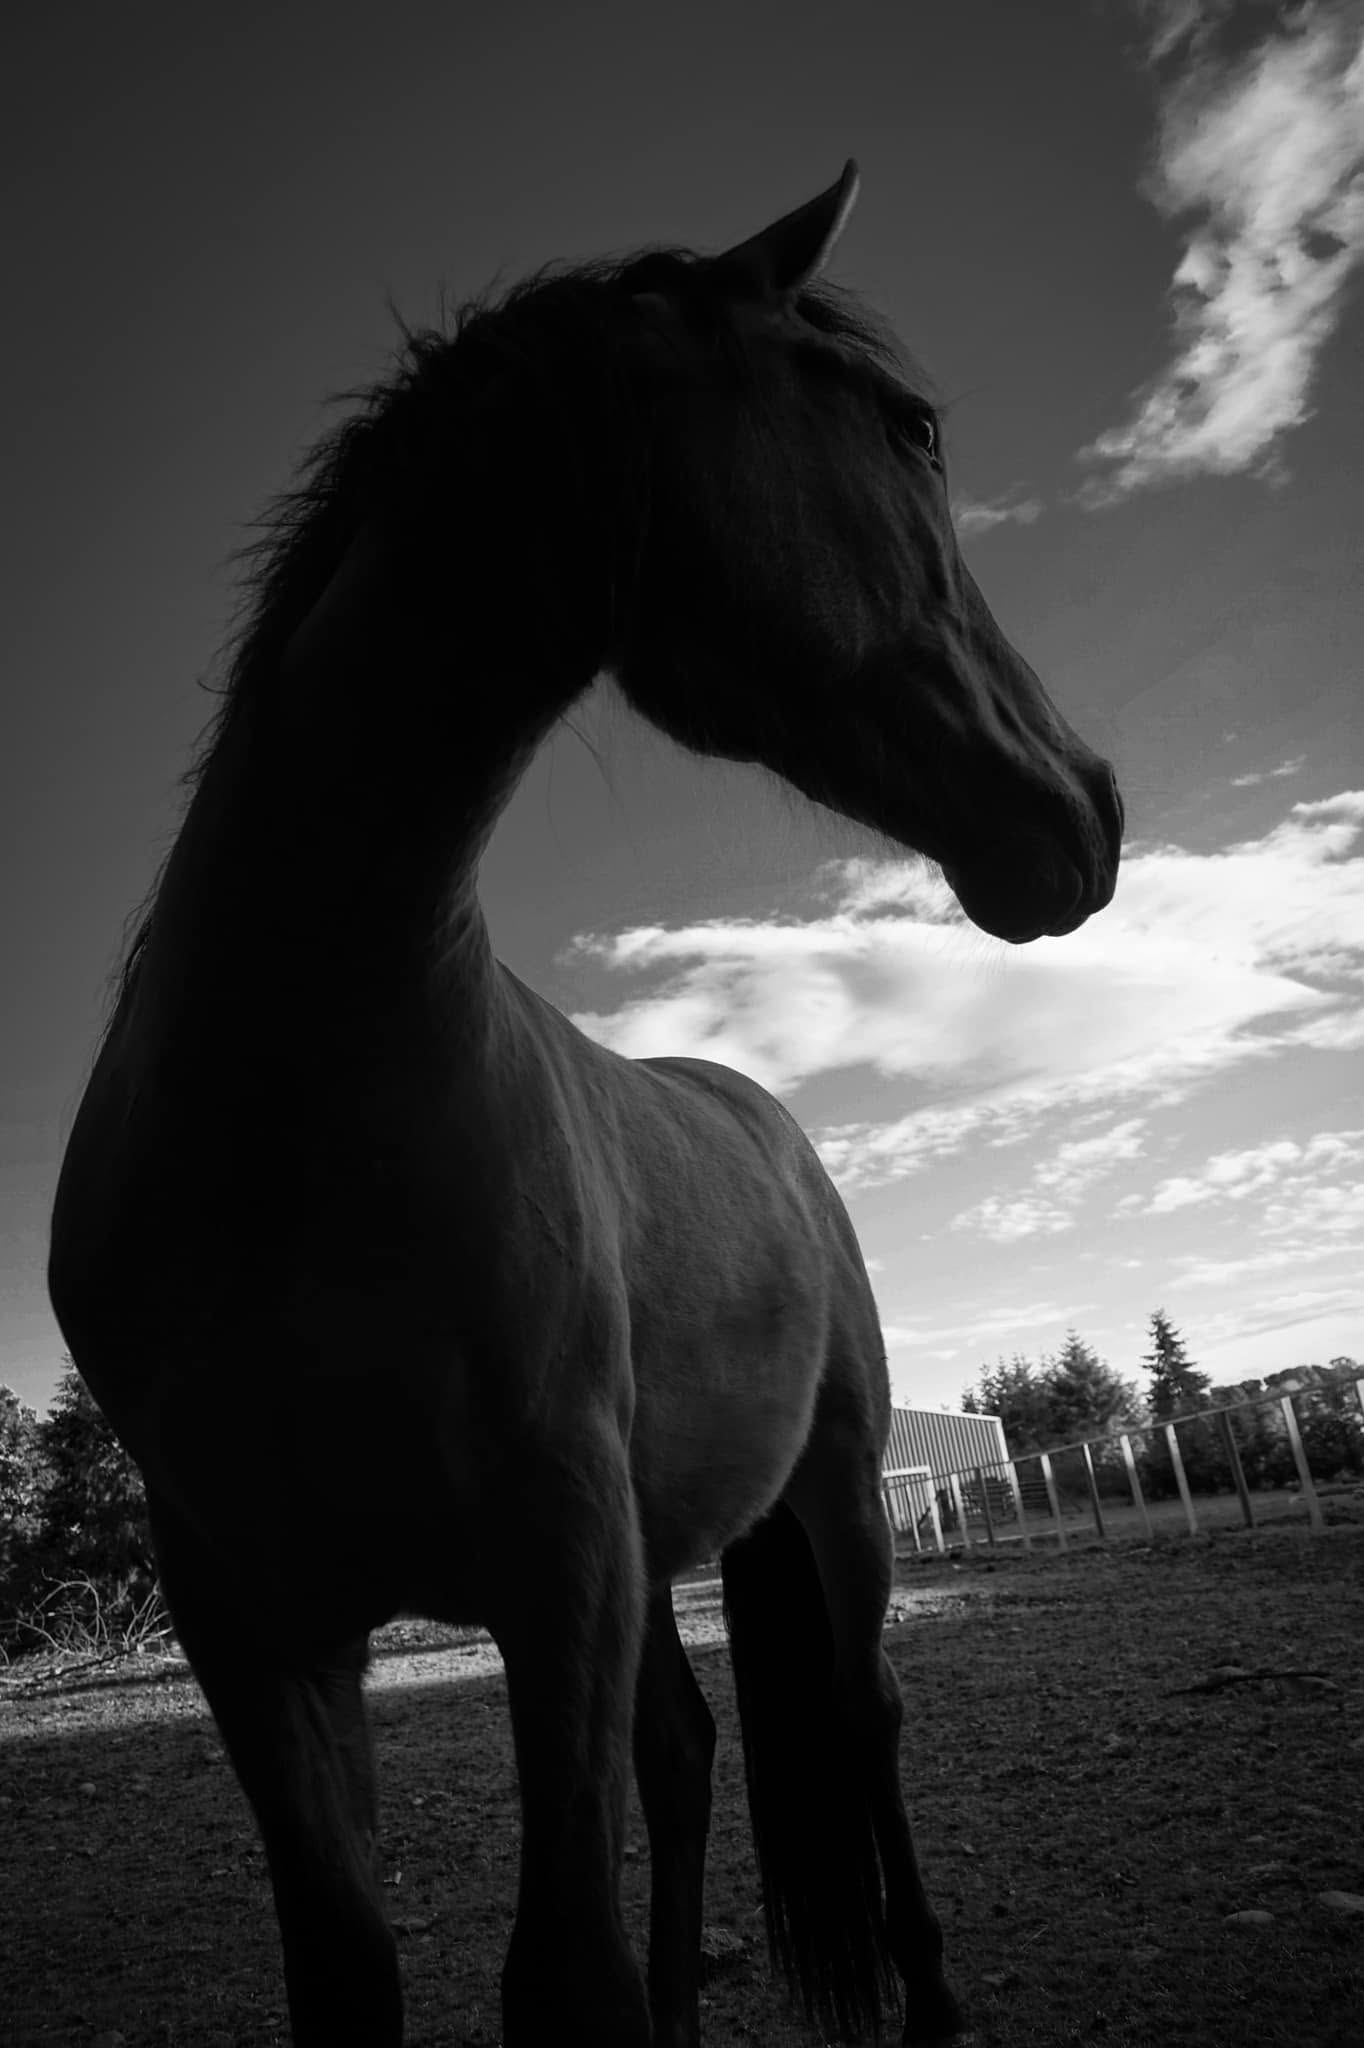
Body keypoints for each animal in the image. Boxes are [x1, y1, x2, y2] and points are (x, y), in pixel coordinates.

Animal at [49, 163, 1123, 2047]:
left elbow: (565, 1970)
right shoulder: (255, 1615)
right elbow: (353, 1967)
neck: (290, 1100)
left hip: (829, 1496)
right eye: (909, 425)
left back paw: (926, 1998)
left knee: (860, 1716)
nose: (1090, 810)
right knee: (686, 1753)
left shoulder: (556, 1560)